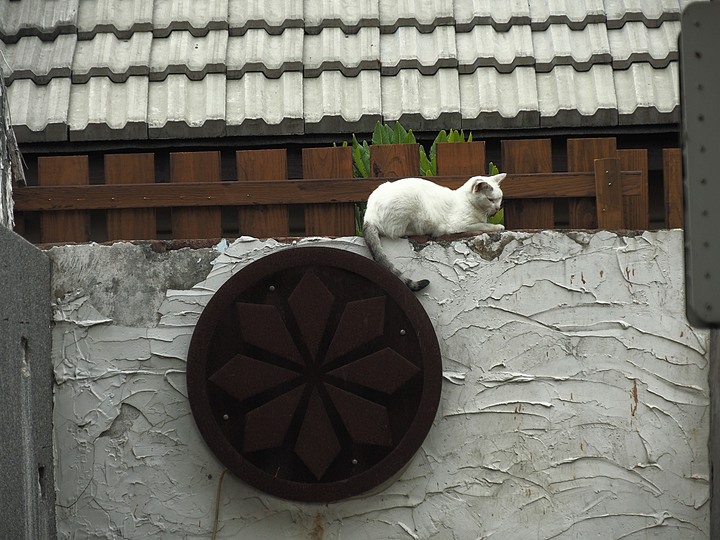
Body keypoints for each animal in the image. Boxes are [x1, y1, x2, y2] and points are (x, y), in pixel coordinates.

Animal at [360, 173, 506, 292]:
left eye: (499, 198)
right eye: (490, 199)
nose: (498, 208)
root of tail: (369, 216)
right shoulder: (459, 225)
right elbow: (483, 225)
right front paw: (498, 226)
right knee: (400, 232)